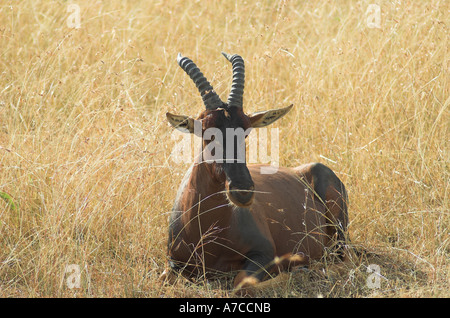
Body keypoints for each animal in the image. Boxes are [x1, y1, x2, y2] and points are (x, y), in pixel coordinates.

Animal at [163, 52, 348, 294]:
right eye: (206, 132)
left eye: (246, 131)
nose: (242, 191)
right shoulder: (172, 262)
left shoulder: (264, 253)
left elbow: (242, 284)